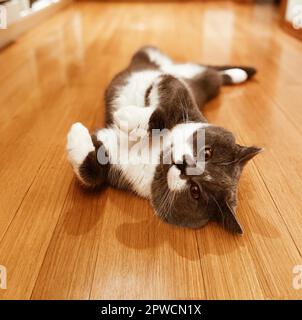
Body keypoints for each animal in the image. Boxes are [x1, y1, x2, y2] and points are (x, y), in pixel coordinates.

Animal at [66, 46, 262, 234]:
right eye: (207, 152)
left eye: (195, 191)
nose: (184, 164)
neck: (159, 153)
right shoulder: (180, 96)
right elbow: (167, 103)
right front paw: (127, 117)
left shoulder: (119, 167)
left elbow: (92, 173)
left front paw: (76, 135)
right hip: (182, 70)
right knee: (209, 72)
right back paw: (240, 72)